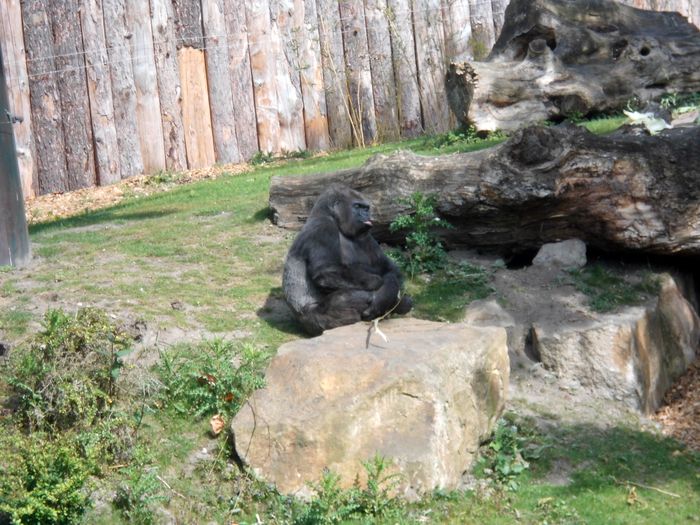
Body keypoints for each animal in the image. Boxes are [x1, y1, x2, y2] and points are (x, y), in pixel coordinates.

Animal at [284, 182, 410, 334]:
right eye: (357, 206)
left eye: (366, 208)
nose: (366, 214)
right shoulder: (322, 227)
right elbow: (326, 271)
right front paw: (377, 284)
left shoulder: (366, 235)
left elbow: (389, 269)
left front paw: (386, 294)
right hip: (314, 321)